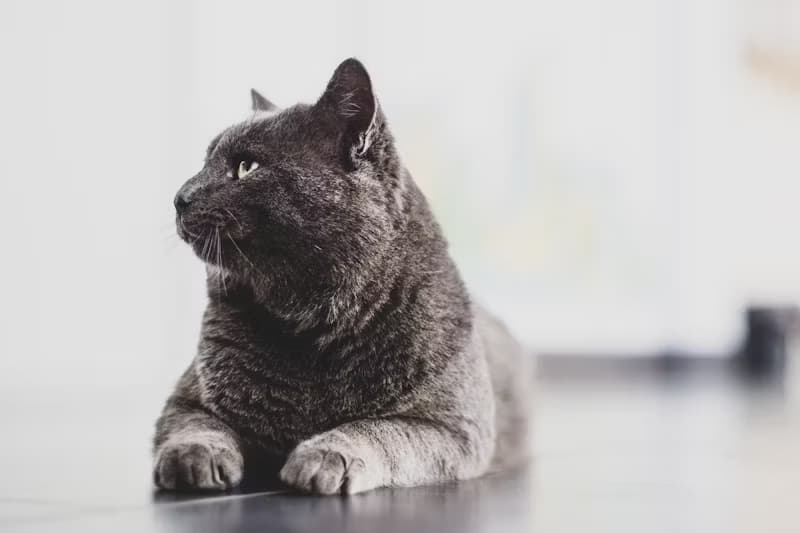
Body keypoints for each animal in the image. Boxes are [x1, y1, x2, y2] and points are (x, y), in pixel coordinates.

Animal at [155, 59, 532, 494]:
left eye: (246, 166)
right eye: (204, 161)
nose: (180, 197)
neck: (310, 325)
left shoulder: (452, 428)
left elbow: (379, 430)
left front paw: (324, 456)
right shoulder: (185, 399)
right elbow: (197, 426)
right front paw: (193, 457)